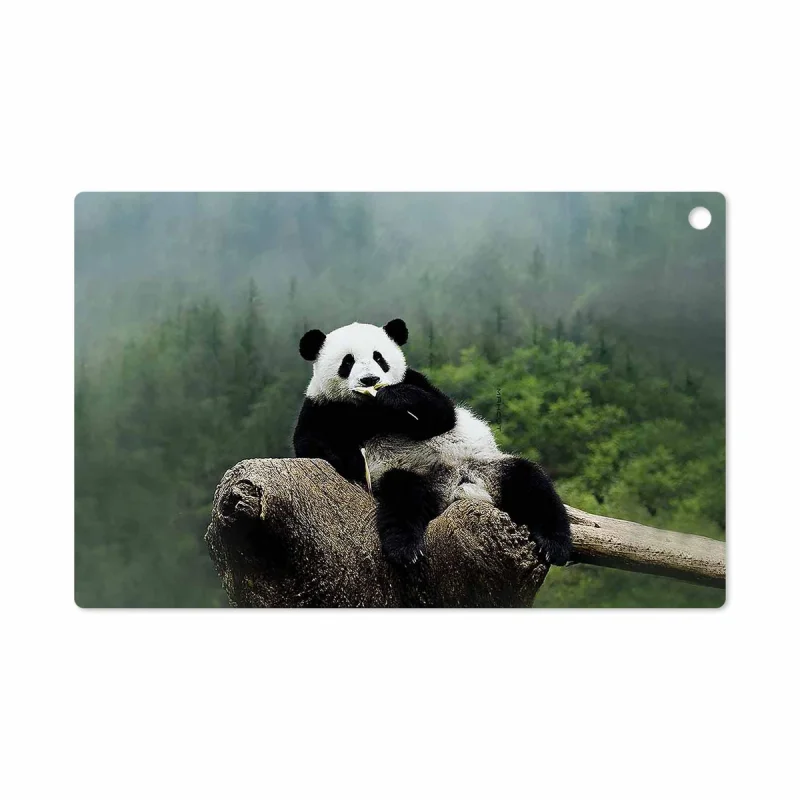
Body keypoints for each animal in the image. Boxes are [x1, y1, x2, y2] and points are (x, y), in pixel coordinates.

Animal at [293, 318, 572, 567]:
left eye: (379, 358)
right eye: (347, 362)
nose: (370, 380)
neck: (368, 409)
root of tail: (457, 486)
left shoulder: (415, 381)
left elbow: (442, 414)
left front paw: (395, 397)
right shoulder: (322, 407)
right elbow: (310, 445)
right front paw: (349, 459)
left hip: (487, 466)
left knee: (530, 483)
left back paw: (554, 545)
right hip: (408, 473)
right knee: (403, 498)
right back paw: (404, 549)